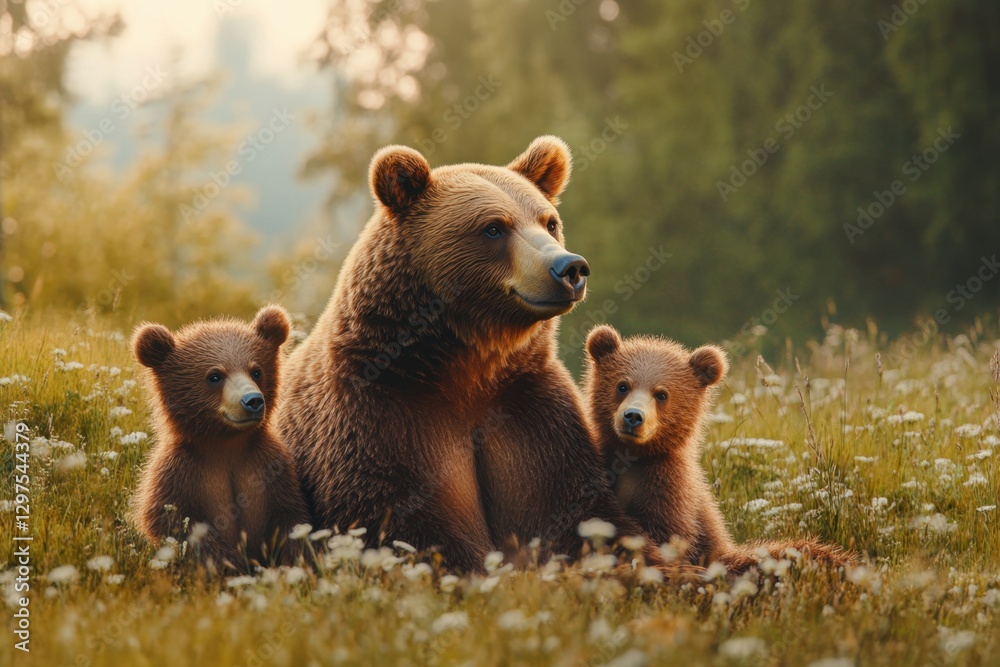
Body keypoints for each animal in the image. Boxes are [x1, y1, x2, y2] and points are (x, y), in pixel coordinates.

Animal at [131, 305, 310, 570]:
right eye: (215, 376)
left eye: (256, 371)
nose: (252, 401)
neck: (226, 444)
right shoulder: (181, 473)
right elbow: (174, 523)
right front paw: (230, 564)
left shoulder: (270, 468)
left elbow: (290, 520)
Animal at [279, 136, 676, 573]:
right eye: (493, 228)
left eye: (549, 222)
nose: (569, 268)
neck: (466, 365)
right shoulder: (381, 415)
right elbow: (408, 526)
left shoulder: (527, 409)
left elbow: (583, 515)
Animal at [584, 324, 857, 573]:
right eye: (622, 385)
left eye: (661, 394)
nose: (633, 416)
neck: (636, 458)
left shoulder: (669, 491)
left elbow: (667, 538)